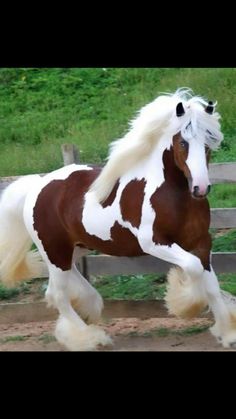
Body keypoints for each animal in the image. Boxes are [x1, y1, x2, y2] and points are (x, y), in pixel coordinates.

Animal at [0, 88, 236, 352]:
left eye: (209, 141)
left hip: (74, 250)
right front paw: (186, 303)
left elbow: (212, 286)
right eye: (183, 142)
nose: (201, 188)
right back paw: (90, 338)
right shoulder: (154, 243)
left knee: (58, 289)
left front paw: (228, 334)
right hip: (55, 251)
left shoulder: (202, 242)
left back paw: (88, 312)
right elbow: (194, 269)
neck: (172, 195)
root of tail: (37, 186)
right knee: (58, 295)